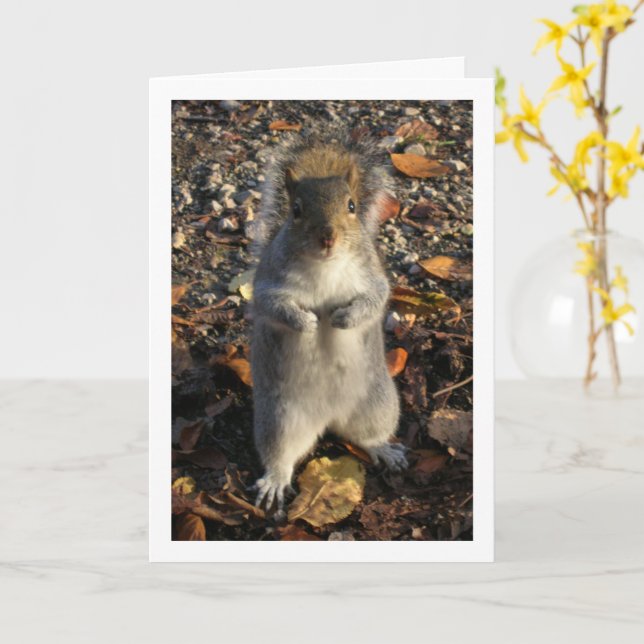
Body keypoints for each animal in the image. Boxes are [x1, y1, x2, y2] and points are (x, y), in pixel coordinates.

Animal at [250, 127, 407, 512]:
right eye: (296, 210)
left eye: (351, 206)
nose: (328, 236)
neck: (324, 266)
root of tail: (329, 418)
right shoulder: (268, 283)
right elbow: (272, 306)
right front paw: (305, 323)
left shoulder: (371, 276)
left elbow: (376, 299)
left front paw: (344, 318)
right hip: (279, 420)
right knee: (281, 455)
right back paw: (274, 481)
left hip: (378, 404)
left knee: (368, 436)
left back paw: (385, 450)